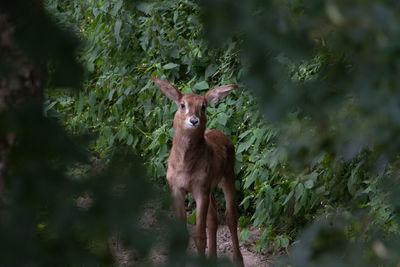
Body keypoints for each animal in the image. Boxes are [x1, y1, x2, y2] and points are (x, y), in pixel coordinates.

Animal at [150, 78, 244, 267]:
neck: (185, 167)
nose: (193, 121)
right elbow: (183, 235)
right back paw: (213, 259)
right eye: (182, 104)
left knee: (231, 216)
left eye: (203, 106)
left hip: (228, 175)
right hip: (211, 185)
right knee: (213, 216)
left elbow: (200, 236)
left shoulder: (200, 188)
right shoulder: (177, 188)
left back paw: (238, 261)